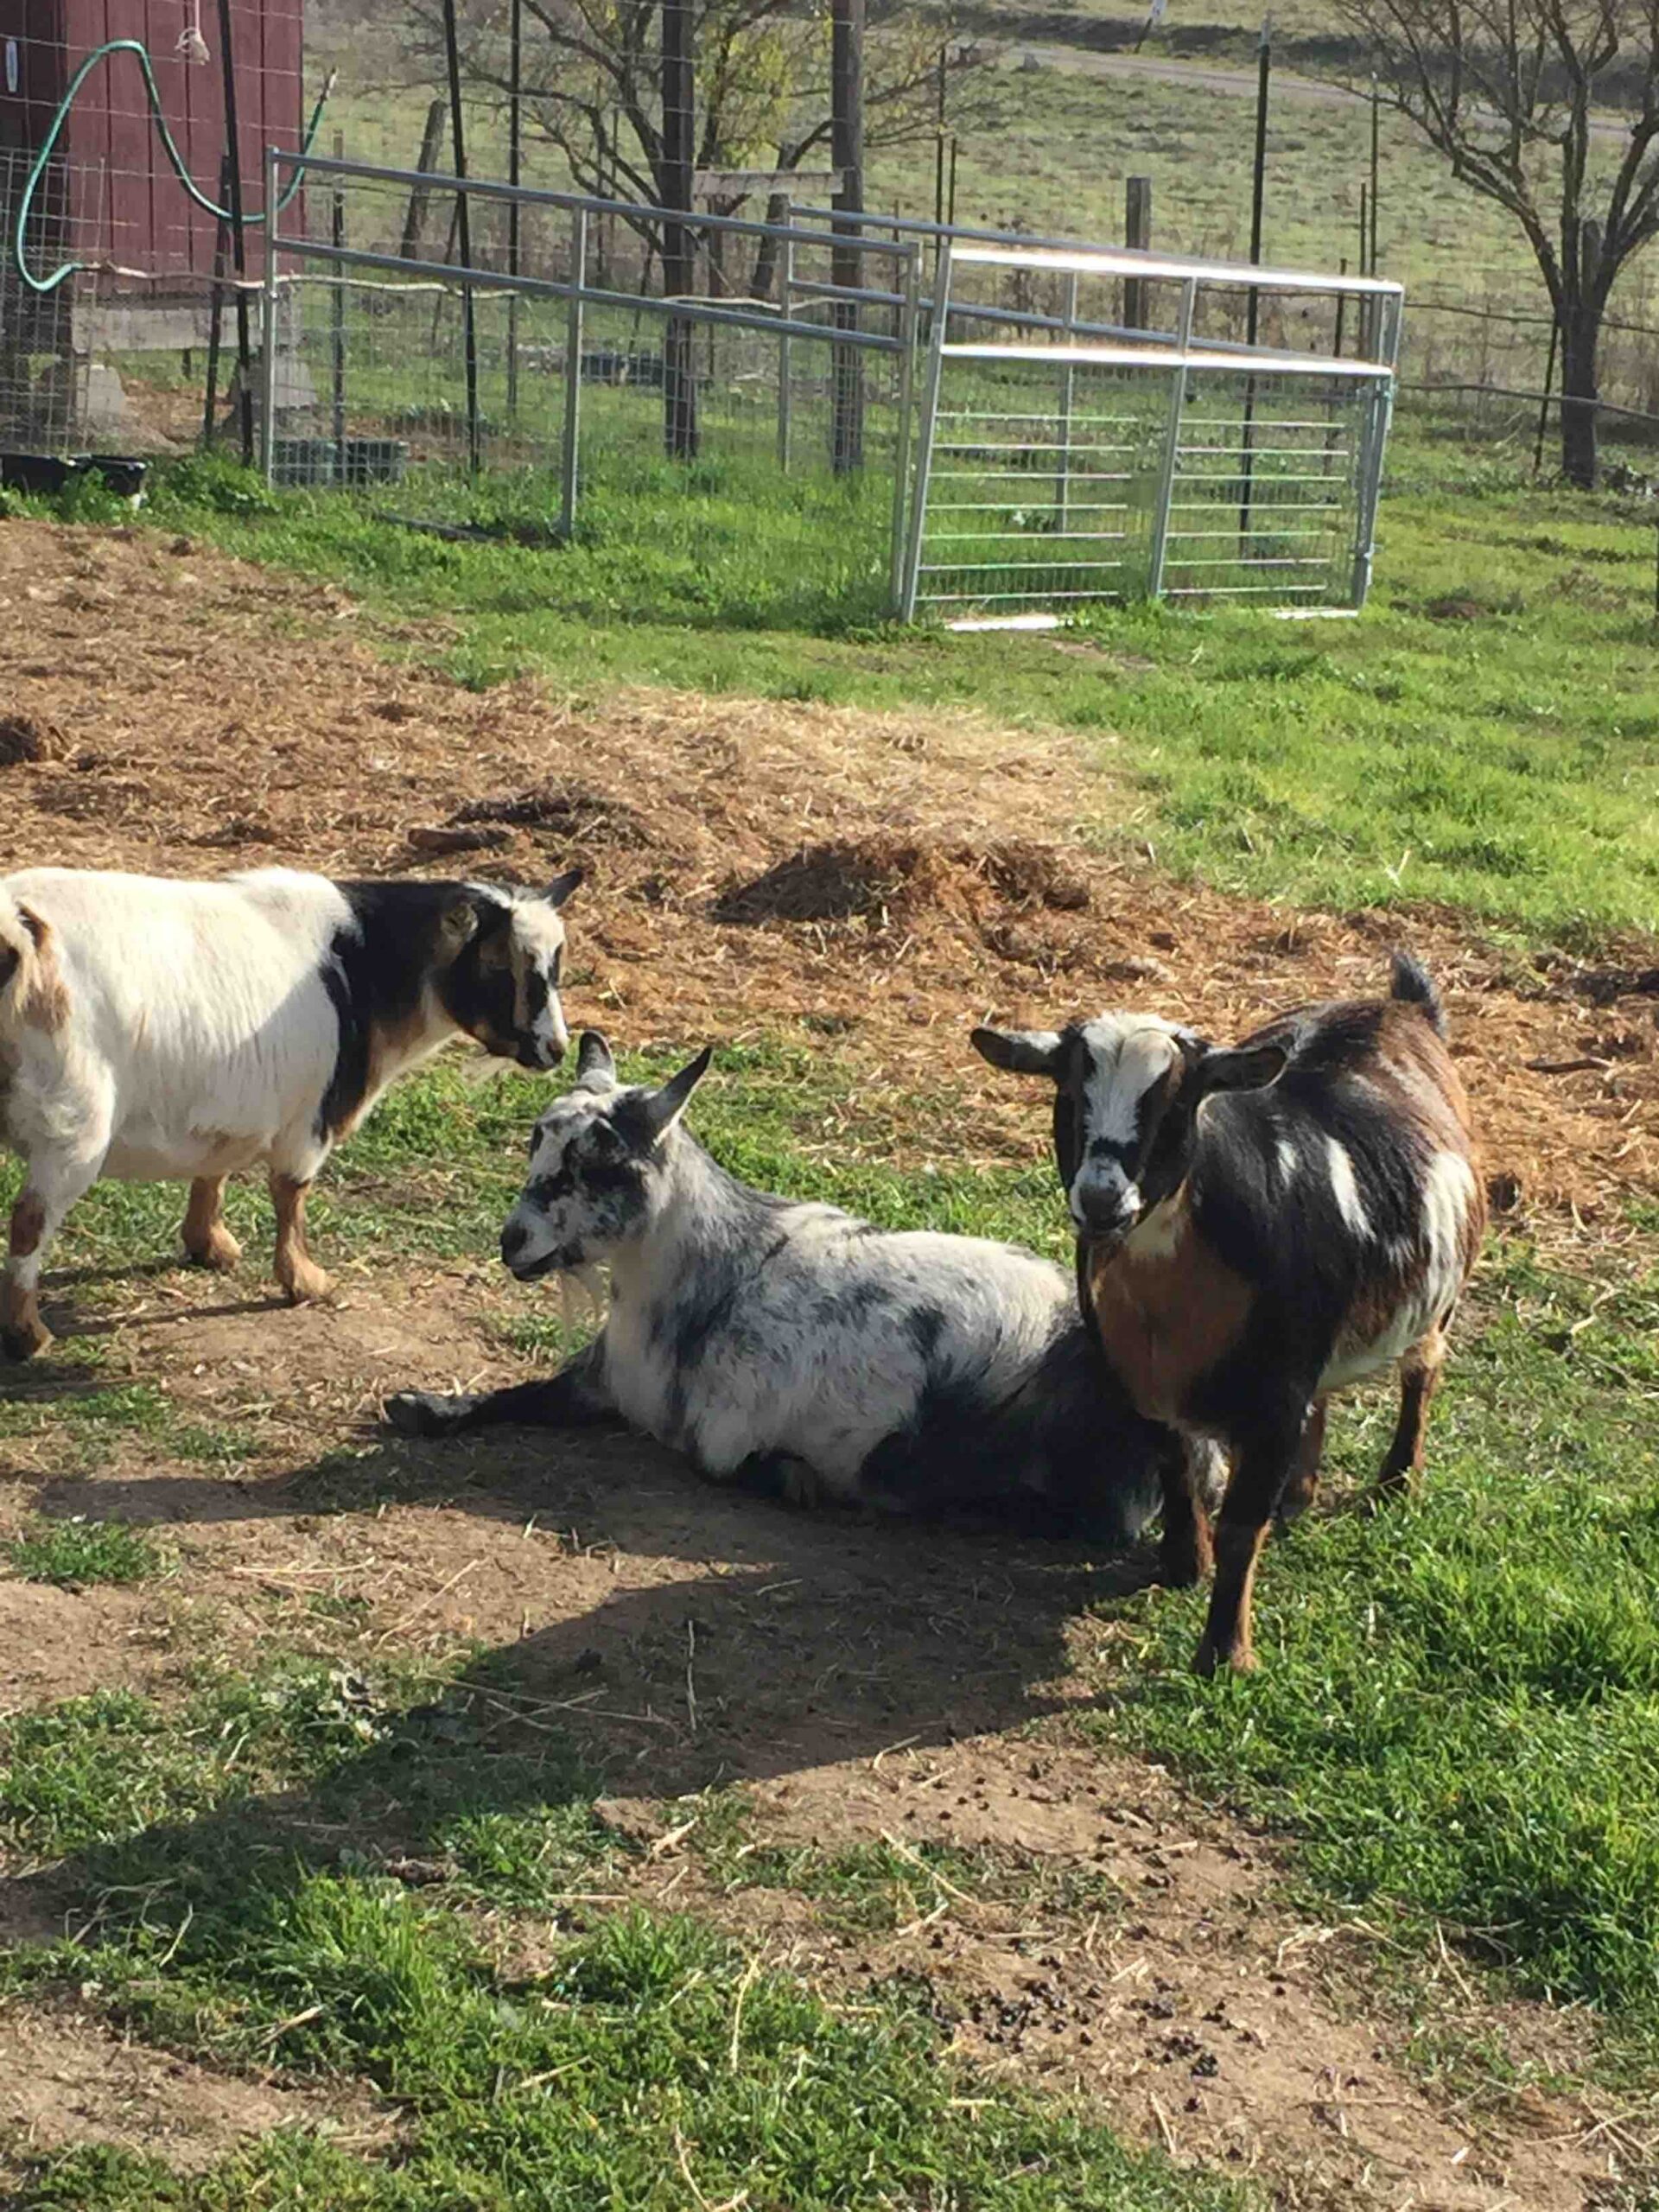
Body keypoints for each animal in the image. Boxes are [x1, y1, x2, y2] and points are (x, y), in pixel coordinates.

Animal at [0, 864, 581, 1358]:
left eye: (556, 965)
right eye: (500, 965)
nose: (555, 1048)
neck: (365, 966)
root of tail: (19, 932)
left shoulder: (235, 1101)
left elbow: (215, 1169)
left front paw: (210, 1245)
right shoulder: (310, 1120)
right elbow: (290, 1194)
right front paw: (305, 1280)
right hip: (74, 1125)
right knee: (29, 1221)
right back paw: (29, 1334)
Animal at [385, 1030, 1203, 1541]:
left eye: (601, 1164)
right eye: (536, 1141)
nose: (513, 1240)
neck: (706, 1275)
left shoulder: (723, 1430)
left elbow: (725, 1464)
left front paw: (794, 1478)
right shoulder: (602, 1384)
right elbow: (517, 1394)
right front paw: (421, 1406)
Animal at [971, 953, 1485, 1676]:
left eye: (1176, 1103)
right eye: (1068, 1094)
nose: (1102, 1200)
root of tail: (1401, 1006)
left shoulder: (1274, 1396)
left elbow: (1244, 1523)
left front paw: (1225, 1654)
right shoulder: (1136, 1377)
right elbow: (1176, 1468)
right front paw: (1184, 1564)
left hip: (1440, 1297)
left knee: (1423, 1373)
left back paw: (1395, 1484)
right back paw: (1302, 1490)